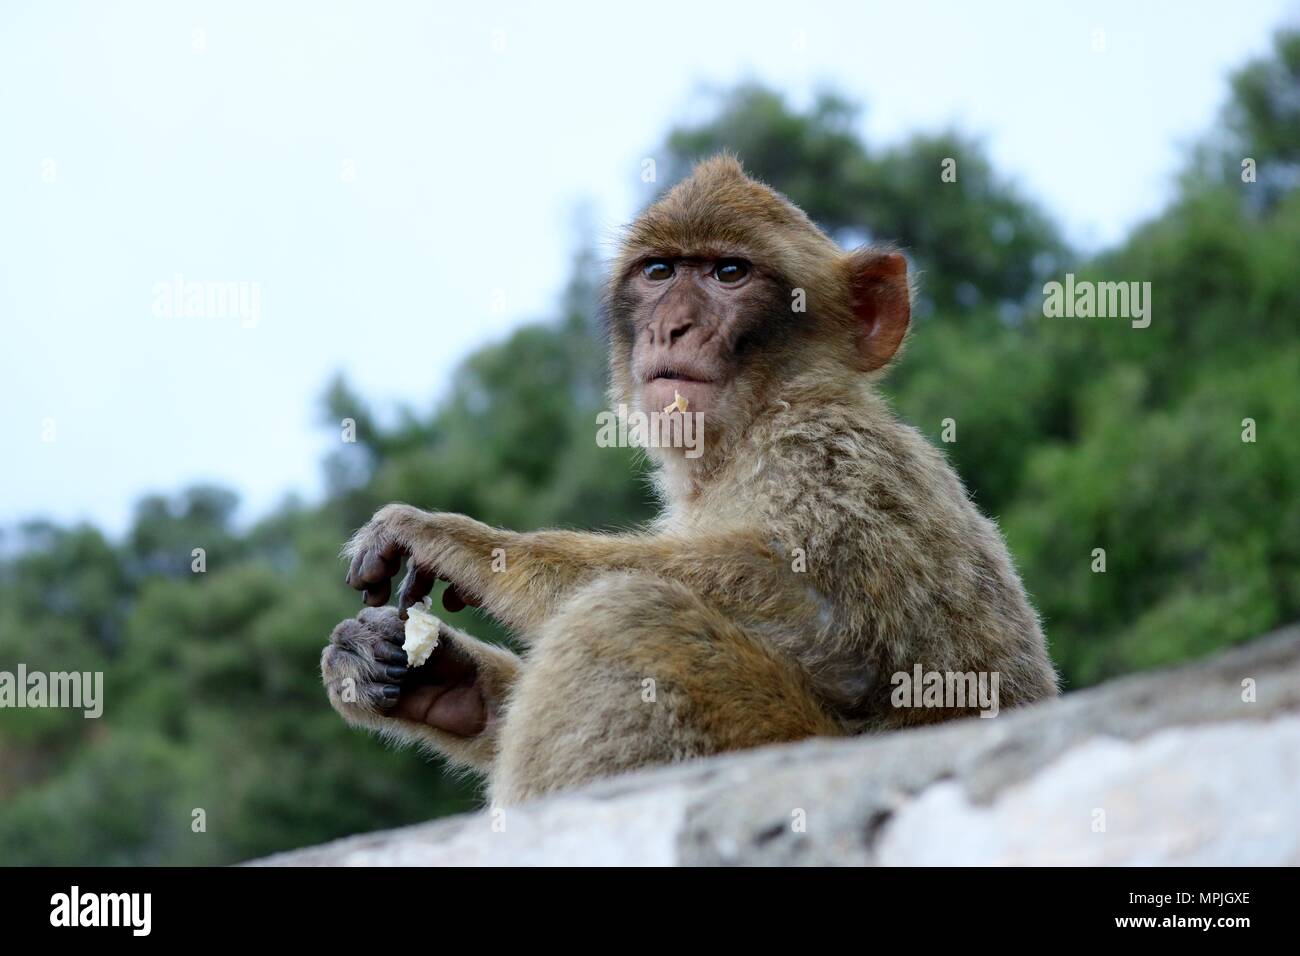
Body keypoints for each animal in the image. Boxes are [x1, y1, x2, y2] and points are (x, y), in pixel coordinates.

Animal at [321, 153, 1058, 806]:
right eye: (659, 271)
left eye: (729, 272)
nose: (672, 327)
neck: (753, 426)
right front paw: (428, 677)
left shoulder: (827, 460)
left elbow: (823, 619)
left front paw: (461, 542)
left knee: (630, 617)